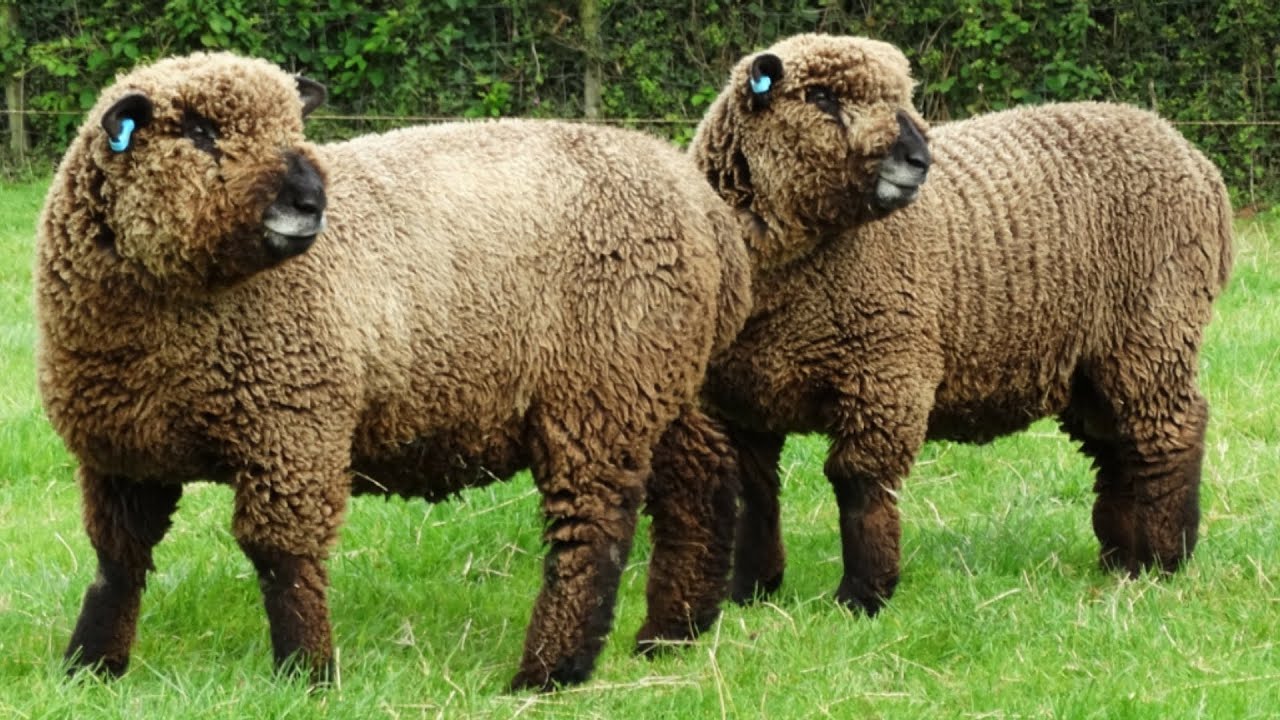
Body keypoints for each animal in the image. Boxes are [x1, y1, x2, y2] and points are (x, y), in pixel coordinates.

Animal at [35, 51, 751, 691]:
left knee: (592, 534)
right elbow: (117, 563)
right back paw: (673, 632)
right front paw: (89, 668)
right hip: (653, 385)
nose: (311, 201)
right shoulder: (121, 453)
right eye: (199, 132)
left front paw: (306, 675)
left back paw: (551, 671)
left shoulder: (293, 425)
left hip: (597, 391)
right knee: (703, 476)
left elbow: (281, 557)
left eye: (296, 125)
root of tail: (705, 209)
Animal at [689, 33, 1233, 614]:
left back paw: (1163, 560)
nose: (918, 160)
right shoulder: (736, 400)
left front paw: (863, 597)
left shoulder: (886, 374)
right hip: (1093, 356)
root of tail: (1197, 162)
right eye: (819, 96)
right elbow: (752, 496)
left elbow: (860, 486)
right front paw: (748, 592)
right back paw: (1120, 559)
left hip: (1153, 328)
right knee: (1116, 446)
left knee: (1170, 432)